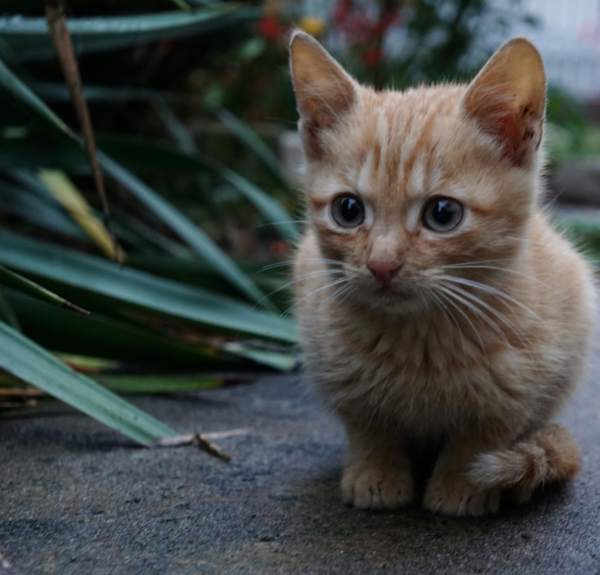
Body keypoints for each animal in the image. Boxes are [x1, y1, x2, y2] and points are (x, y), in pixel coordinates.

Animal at [290, 31, 596, 516]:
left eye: (442, 214)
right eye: (348, 210)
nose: (382, 264)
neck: (421, 339)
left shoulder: (519, 386)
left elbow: (481, 436)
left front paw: (461, 486)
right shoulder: (334, 371)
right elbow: (368, 427)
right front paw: (375, 475)